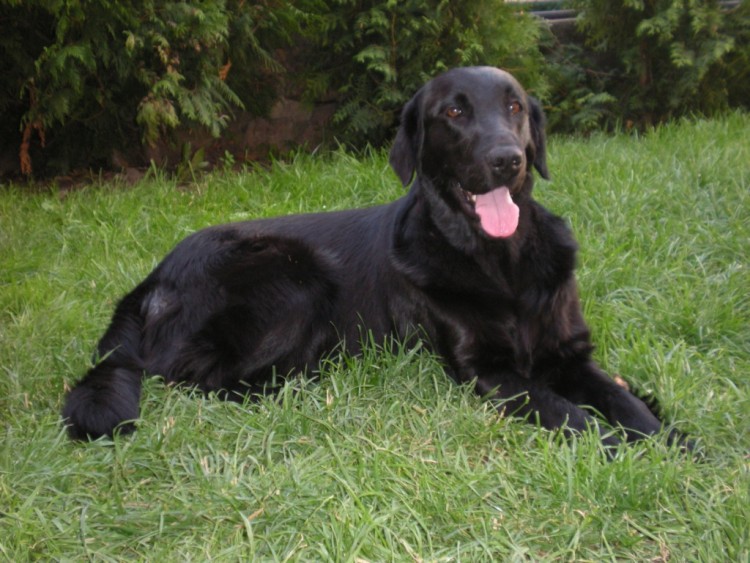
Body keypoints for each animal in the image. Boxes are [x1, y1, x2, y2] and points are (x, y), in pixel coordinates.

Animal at [64, 67, 684, 450]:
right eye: (454, 113)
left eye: (514, 107)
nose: (507, 159)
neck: (499, 261)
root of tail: (150, 280)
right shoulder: (488, 371)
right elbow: (570, 413)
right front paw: (618, 449)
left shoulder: (569, 353)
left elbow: (624, 403)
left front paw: (672, 442)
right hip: (293, 277)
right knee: (194, 377)